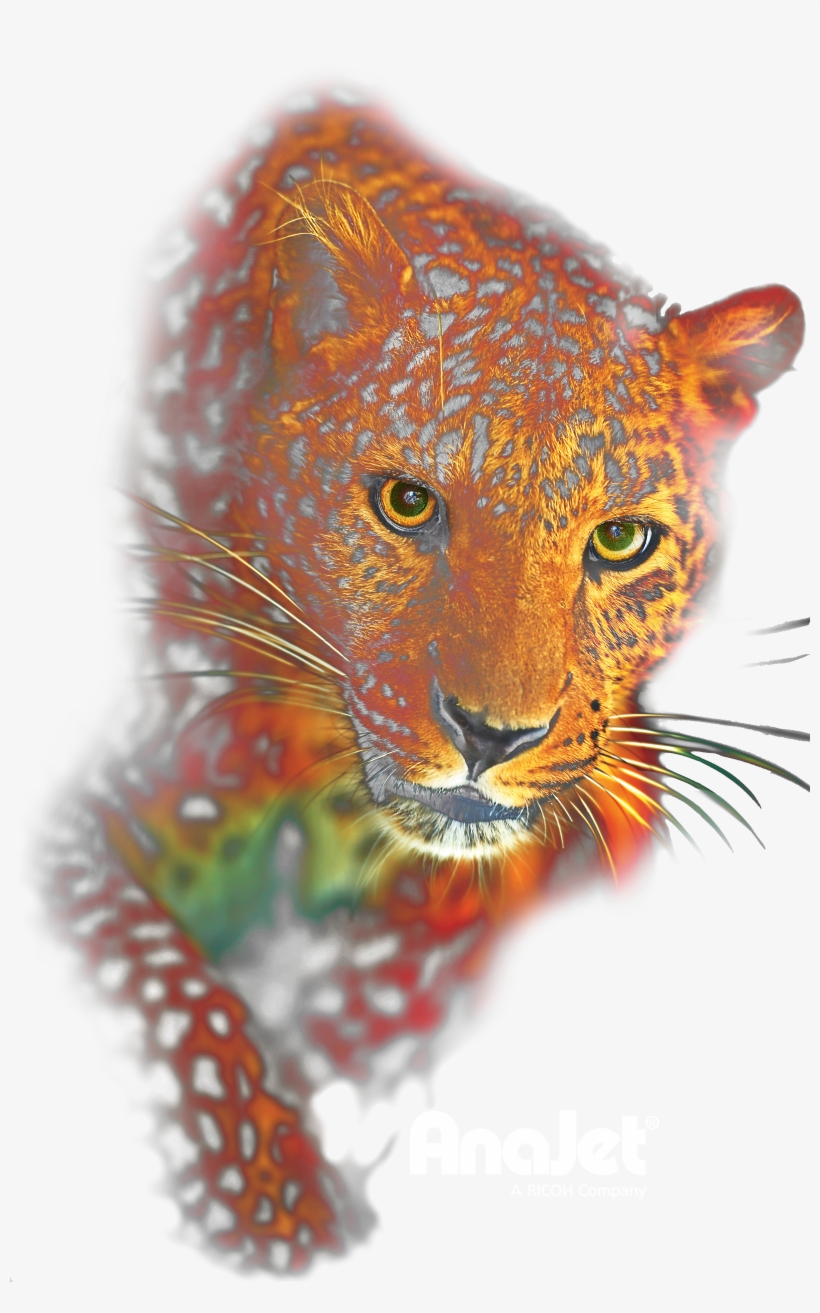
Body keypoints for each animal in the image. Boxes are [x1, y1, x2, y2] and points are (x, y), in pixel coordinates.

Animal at [46, 91, 807, 1273]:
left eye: (621, 541)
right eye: (406, 504)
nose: (493, 736)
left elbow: (384, 1008)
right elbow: (167, 992)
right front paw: (272, 1211)